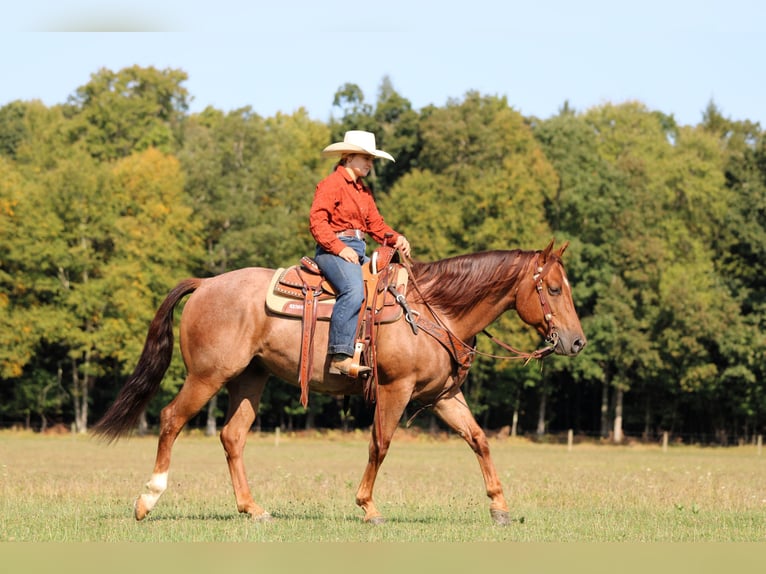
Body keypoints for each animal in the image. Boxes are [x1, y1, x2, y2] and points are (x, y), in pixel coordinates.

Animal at [93, 239, 586, 525]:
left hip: (250, 379)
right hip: (208, 375)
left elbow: (479, 439)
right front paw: (368, 506)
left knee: (232, 436)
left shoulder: (444, 395)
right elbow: (380, 444)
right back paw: (147, 500)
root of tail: (207, 283)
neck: (434, 310)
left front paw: (499, 506)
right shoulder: (395, 389)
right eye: (554, 289)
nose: (577, 341)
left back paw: (252, 509)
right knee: (171, 419)